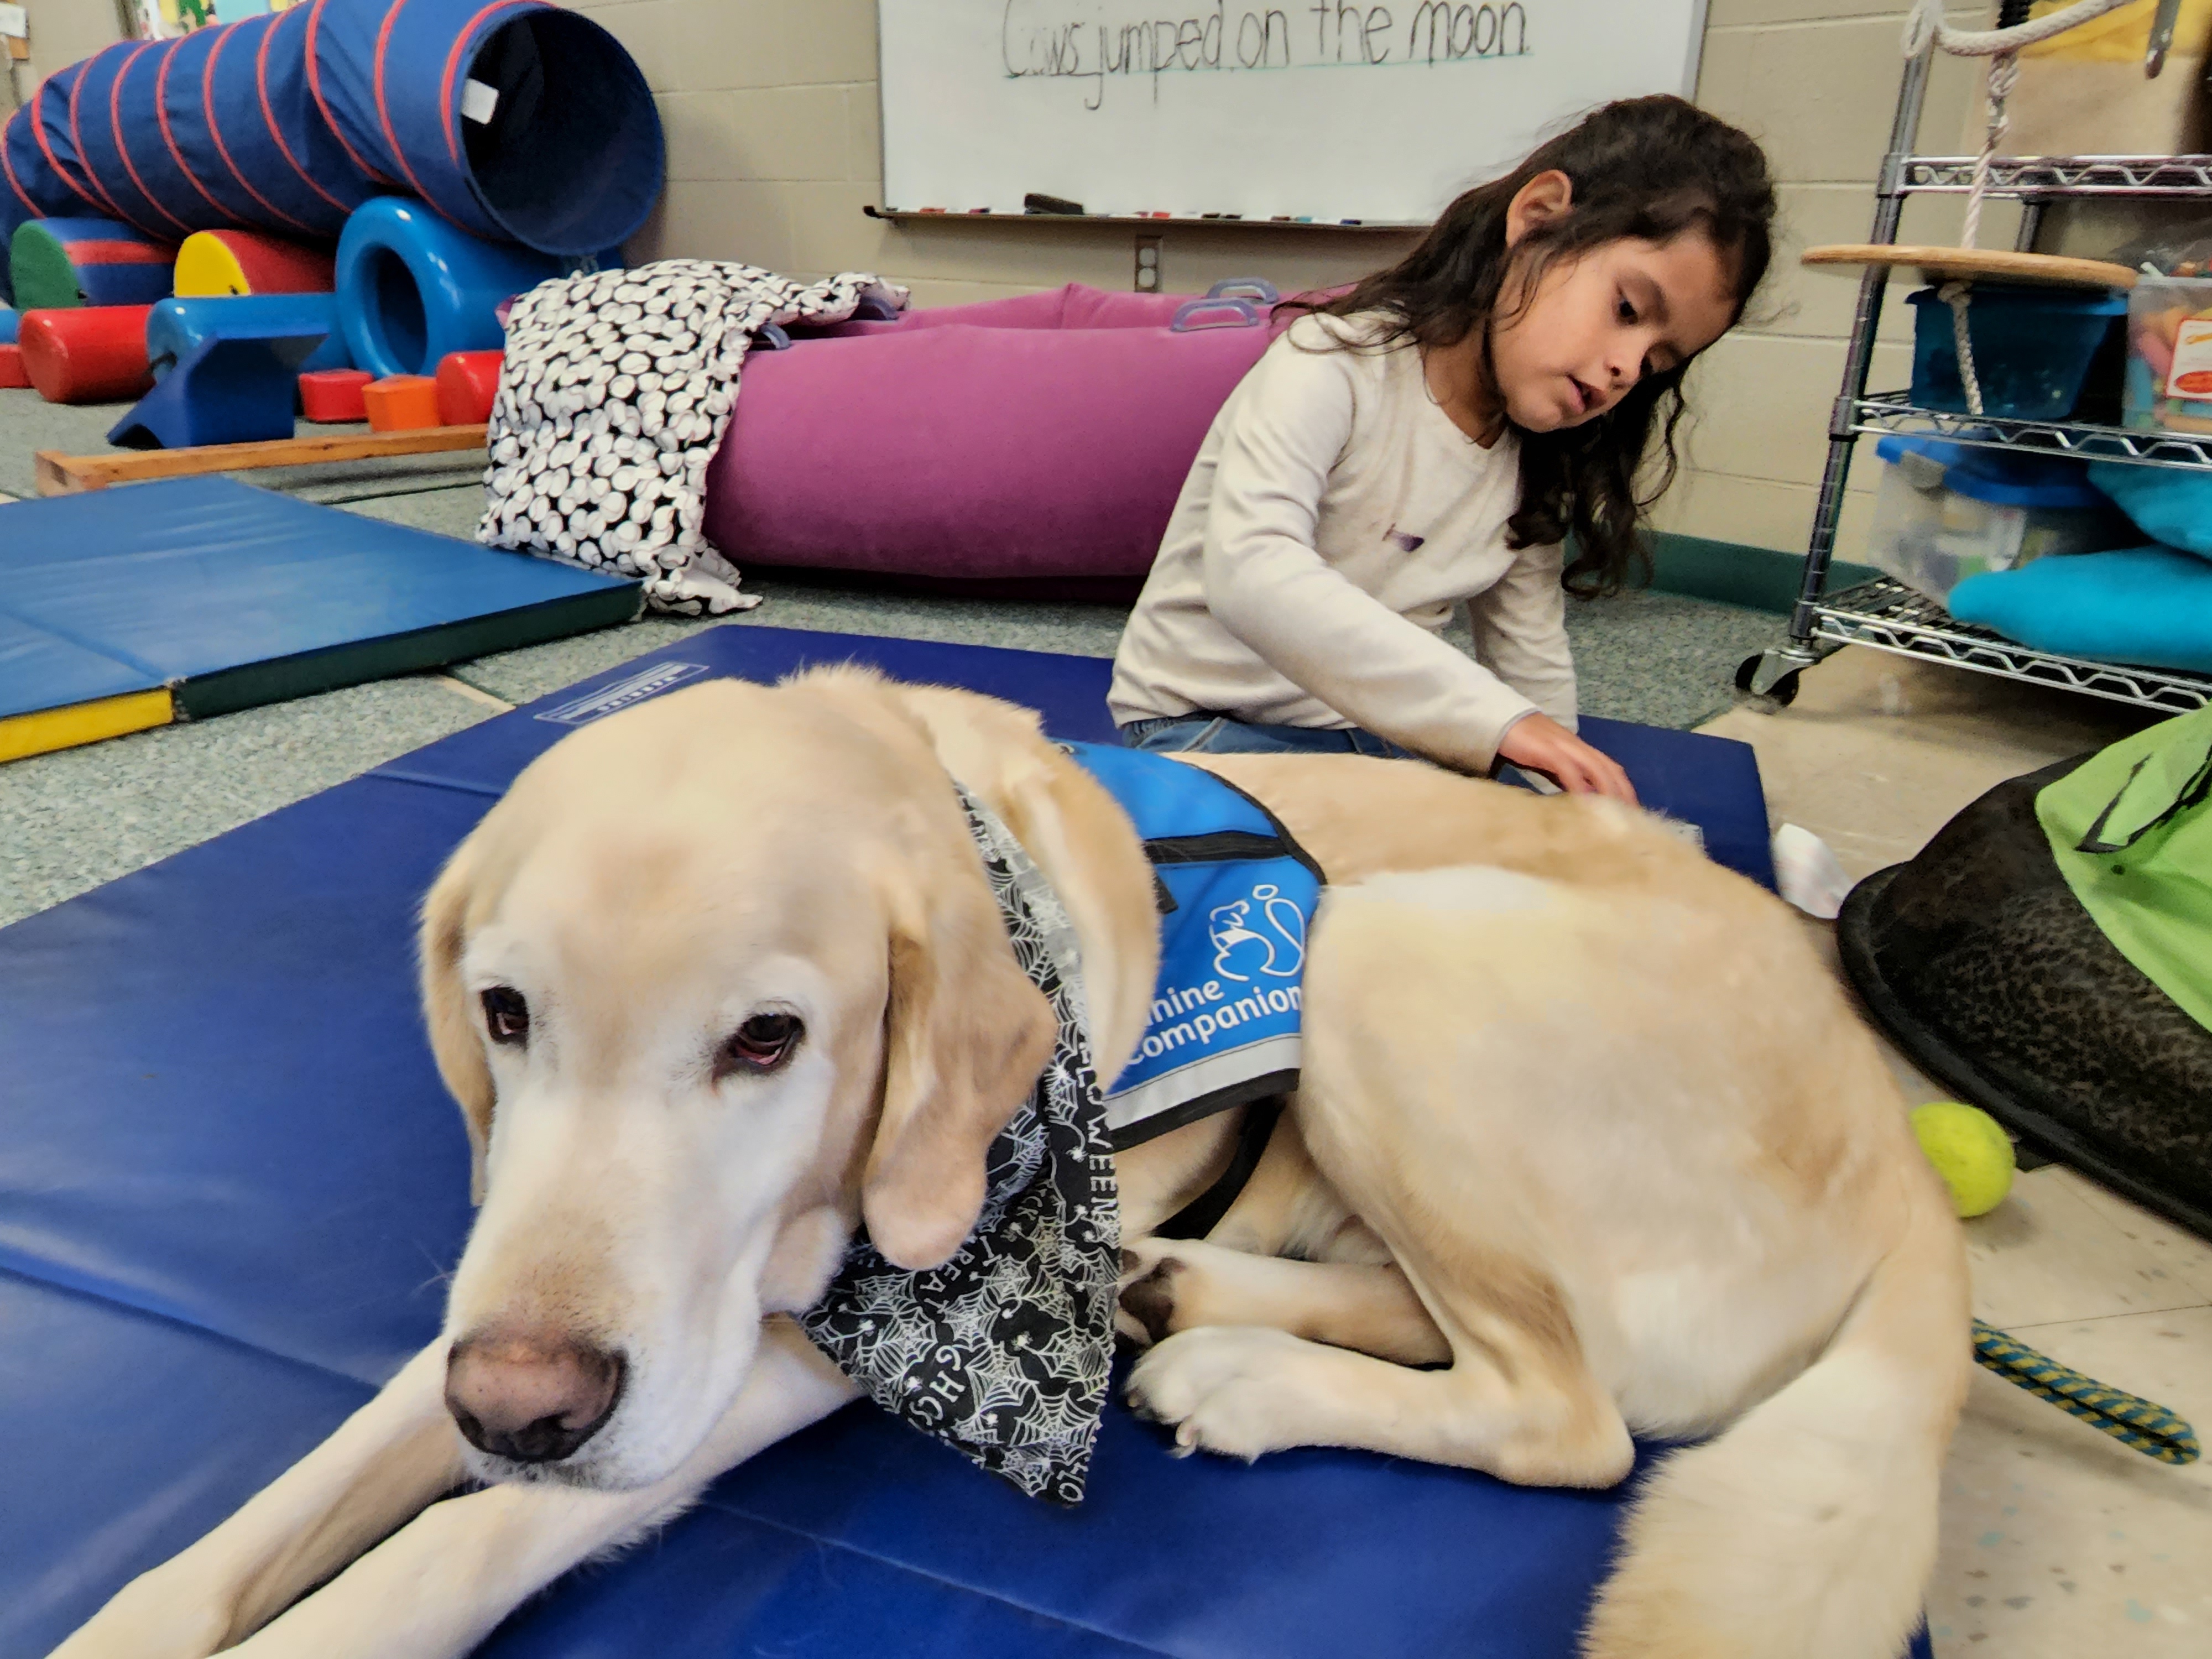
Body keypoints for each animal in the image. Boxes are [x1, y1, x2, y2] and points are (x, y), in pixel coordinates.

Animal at [43, 668, 1964, 1659]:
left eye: (768, 1042)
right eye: (504, 1014)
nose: (525, 1403)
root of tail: (1908, 1182)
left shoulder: (781, 1350)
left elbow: (461, 1541)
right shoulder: (493, 1305)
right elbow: (288, 1501)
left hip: (1393, 944)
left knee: (1569, 1417)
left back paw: (1239, 1369)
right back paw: (1181, 1289)